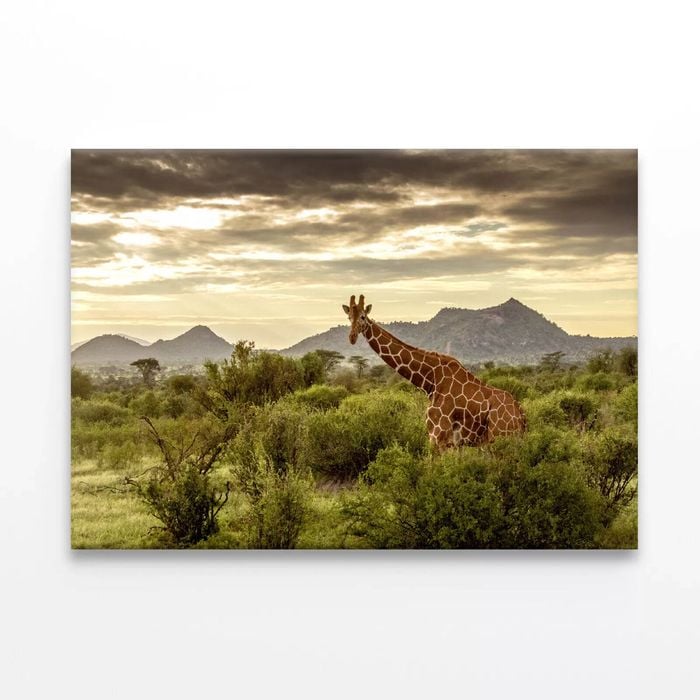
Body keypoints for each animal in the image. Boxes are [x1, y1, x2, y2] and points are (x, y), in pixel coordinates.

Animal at [342, 294, 526, 450]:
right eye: (349, 317)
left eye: (363, 317)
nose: (352, 337)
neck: (430, 379)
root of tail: (521, 417)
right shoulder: (452, 443)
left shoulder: (438, 436)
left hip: (501, 437)